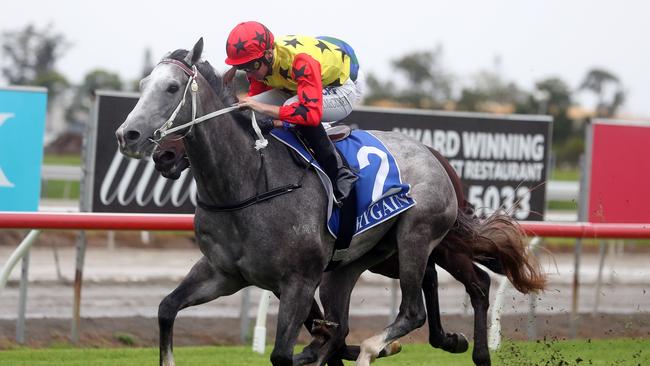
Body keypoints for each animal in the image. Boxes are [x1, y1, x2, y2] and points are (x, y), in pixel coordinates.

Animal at [115, 38, 540, 364]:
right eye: (143, 83)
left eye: (171, 88)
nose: (128, 135)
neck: (248, 184)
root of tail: (433, 153)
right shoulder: (223, 273)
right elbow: (166, 309)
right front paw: (322, 340)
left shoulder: (299, 280)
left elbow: (285, 353)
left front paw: (323, 345)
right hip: (365, 261)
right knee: (447, 282)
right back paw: (450, 343)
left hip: (418, 236)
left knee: (419, 306)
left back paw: (381, 347)